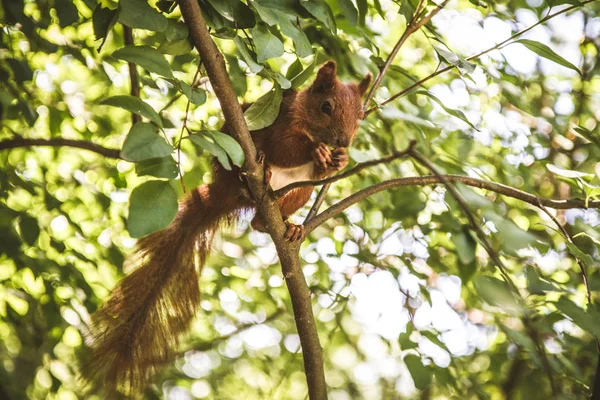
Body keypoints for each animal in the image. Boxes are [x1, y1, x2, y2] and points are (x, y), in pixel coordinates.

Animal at [86, 61, 372, 396]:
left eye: (361, 114)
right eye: (326, 106)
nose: (344, 142)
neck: (308, 120)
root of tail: (222, 194)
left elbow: (319, 170)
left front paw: (339, 160)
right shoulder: (283, 119)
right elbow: (284, 147)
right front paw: (316, 151)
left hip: (300, 192)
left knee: (261, 220)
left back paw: (288, 226)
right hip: (231, 162)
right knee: (256, 167)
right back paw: (261, 171)